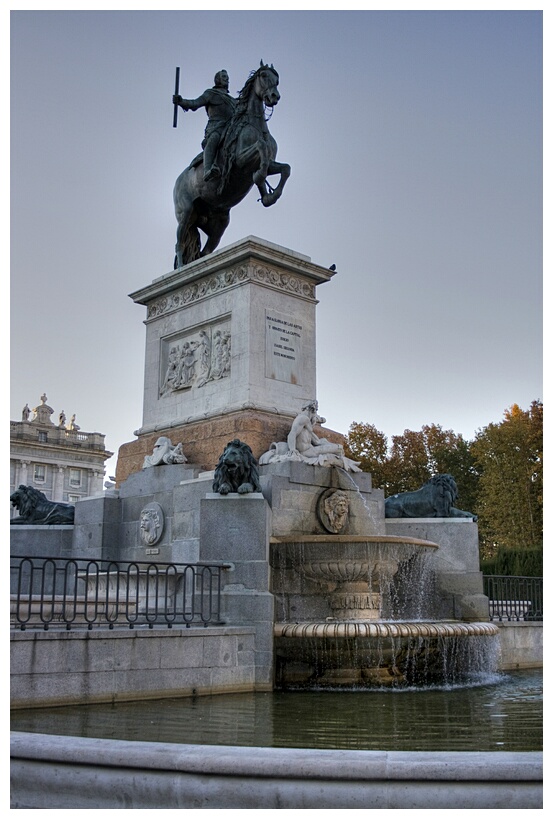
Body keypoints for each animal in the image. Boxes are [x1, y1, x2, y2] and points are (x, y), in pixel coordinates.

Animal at [175, 65, 292, 270]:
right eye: (263, 75)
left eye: (277, 80)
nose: (274, 96)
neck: (256, 126)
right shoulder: (240, 161)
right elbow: (261, 149)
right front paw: (260, 179)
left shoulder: (269, 163)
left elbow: (285, 168)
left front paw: (270, 196)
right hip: (186, 213)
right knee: (180, 243)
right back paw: (182, 268)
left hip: (218, 223)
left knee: (204, 252)